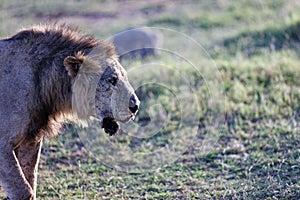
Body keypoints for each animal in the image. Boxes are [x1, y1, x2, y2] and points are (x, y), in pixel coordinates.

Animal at [0, 24, 140, 199]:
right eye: (112, 80)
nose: (136, 106)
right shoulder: (3, 145)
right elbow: (24, 191)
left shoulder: (30, 141)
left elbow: (30, 180)